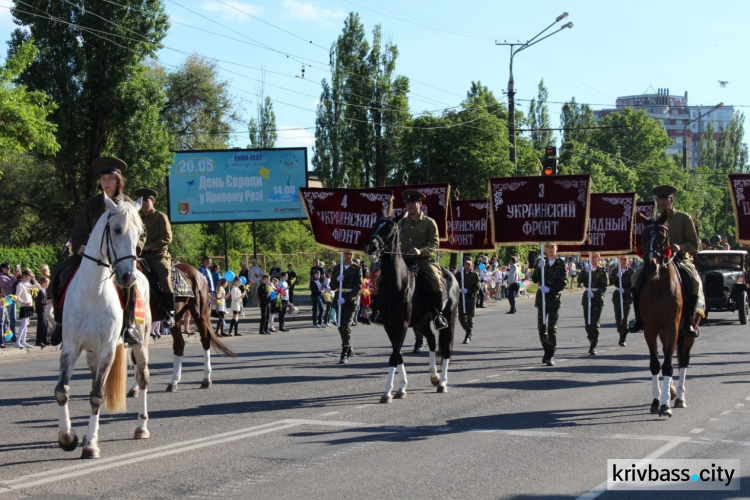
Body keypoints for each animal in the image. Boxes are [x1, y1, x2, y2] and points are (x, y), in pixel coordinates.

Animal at [54, 193, 153, 458]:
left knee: (142, 378)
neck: (93, 292)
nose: (127, 277)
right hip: (91, 353)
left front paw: (90, 445)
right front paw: (68, 437)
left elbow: (97, 396)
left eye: (140, 233)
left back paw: (141, 427)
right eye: (117, 229)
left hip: (140, 344)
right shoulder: (71, 347)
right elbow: (62, 391)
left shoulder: (108, 349)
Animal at [129, 262, 235, 394]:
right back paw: (173, 382)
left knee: (205, 340)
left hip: (199, 313)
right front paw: (134, 387)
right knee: (179, 344)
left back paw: (206, 379)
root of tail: (196, 272)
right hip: (177, 318)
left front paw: (135, 387)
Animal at [640, 212, 700, 418]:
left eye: (661, 237)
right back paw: (672, 391)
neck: (659, 287)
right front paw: (656, 401)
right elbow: (655, 363)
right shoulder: (650, 330)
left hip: (688, 331)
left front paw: (665, 405)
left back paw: (679, 396)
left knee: (683, 360)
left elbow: (668, 364)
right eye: (643, 238)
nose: (650, 267)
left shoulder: (673, 327)